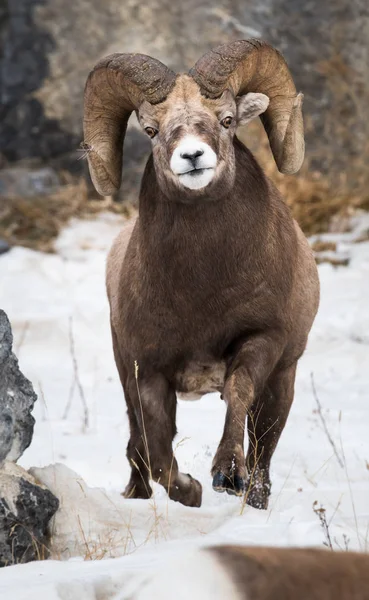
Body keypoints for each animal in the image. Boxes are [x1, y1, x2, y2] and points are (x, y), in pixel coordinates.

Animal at [83, 38, 320, 506]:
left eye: (226, 120)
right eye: (151, 130)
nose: (192, 156)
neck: (202, 289)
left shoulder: (261, 342)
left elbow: (237, 393)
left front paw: (226, 474)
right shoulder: (147, 372)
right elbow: (158, 450)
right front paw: (191, 491)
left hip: (282, 382)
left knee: (263, 448)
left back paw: (255, 499)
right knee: (138, 447)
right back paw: (136, 496)